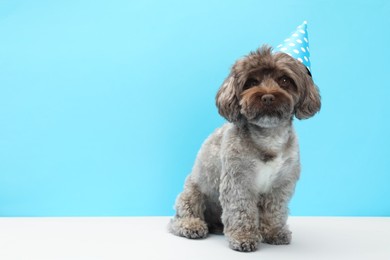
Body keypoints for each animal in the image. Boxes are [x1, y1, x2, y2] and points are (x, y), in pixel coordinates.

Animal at [169, 45, 322, 252]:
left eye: (284, 80)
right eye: (251, 82)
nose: (268, 97)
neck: (268, 137)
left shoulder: (281, 184)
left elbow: (274, 211)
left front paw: (274, 232)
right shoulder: (238, 182)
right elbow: (241, 211)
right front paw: (244, 237)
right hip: (192, 193)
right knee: (179, 218)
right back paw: (192, 225)